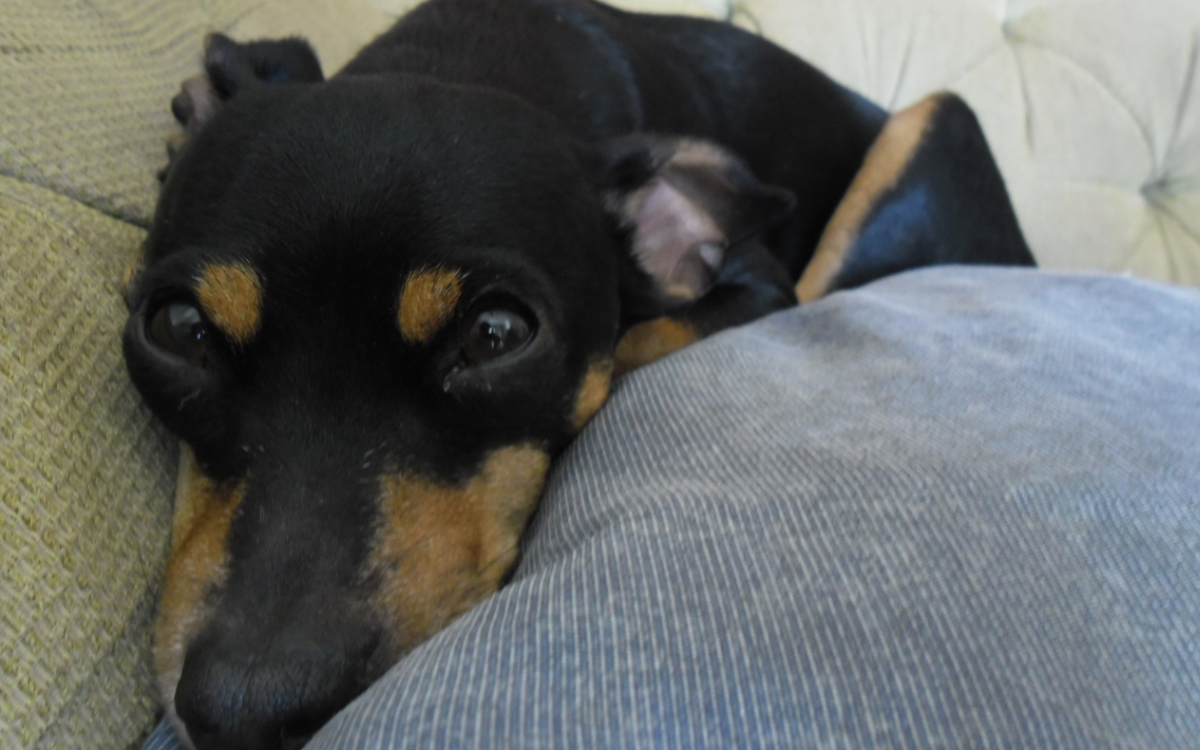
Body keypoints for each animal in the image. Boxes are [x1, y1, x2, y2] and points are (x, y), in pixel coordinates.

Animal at [126, 1, 1036, 748]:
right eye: (178, 329)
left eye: (495, 335)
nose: (248, 708)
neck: (468, 56)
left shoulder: (758, 286)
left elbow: (627, 350)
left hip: (934, 121)